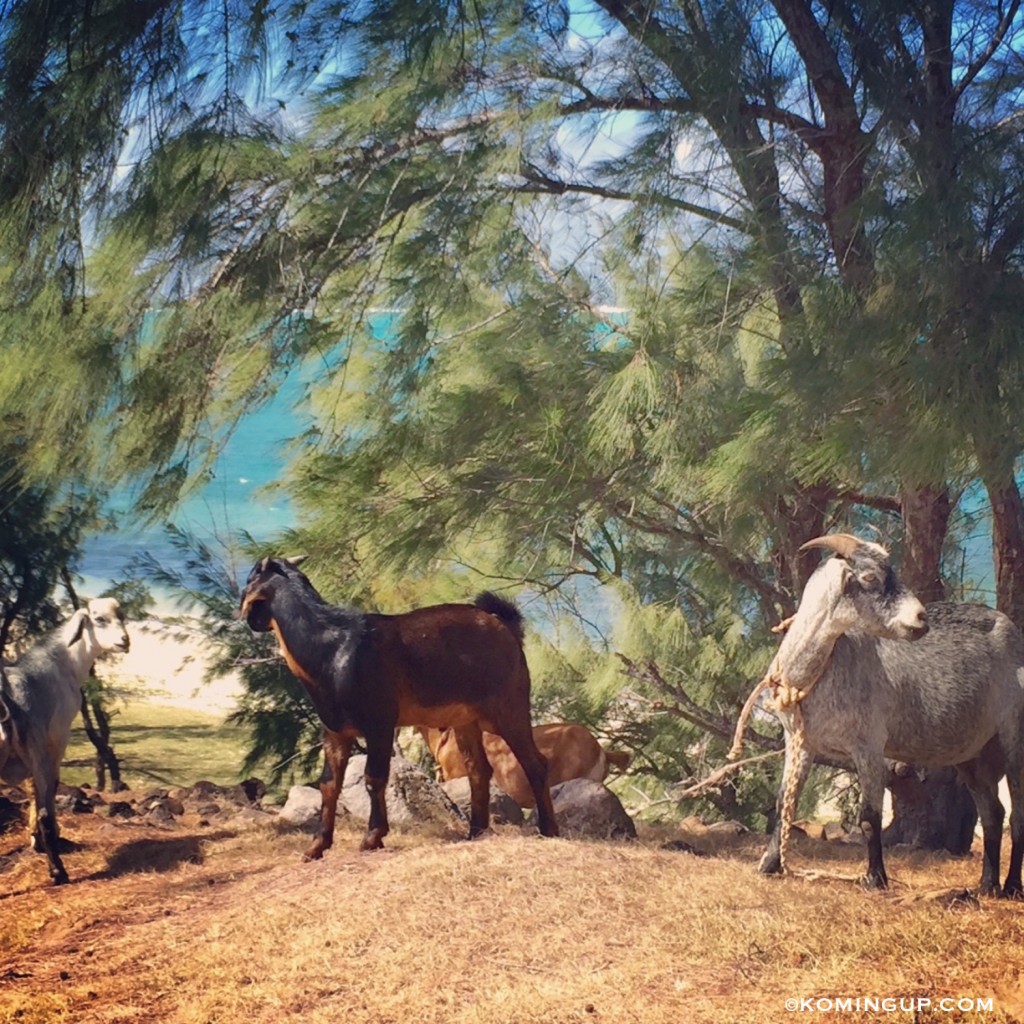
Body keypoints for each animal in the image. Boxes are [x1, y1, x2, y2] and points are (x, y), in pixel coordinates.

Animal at [0, 598, 130, 884]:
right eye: (99, 619)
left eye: (122, 617)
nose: (125, 641)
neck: (60, 664)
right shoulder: (57, 736)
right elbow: (49, 790)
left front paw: (34, 839)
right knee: (46, 811)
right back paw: (58, 872)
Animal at [239, 561, 561, 856]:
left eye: (249, 578)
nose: (250, 621)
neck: (332, 646)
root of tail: (505, 626)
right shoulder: (334, 730)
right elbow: (329, 784)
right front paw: (316, 846)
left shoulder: (379, 723)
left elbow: (374, 777)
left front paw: (372, 837)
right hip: (465, 720)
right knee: (479, 770)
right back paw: (476, 832)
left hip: (508, 707)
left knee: (535, 763)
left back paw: (548, 830)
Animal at [733, 536, 1024, 897]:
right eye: (870, 577)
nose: (921, 618)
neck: (818, 671)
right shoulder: (800, 743)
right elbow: (782, 804)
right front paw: (770, 864)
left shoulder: (869, 746)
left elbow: (869, 817)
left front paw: (875, 878)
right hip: (974, 753)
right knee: (993, 813)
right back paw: (987, 885)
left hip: (1014, 734)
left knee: (1018, 816)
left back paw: (1012, 887)